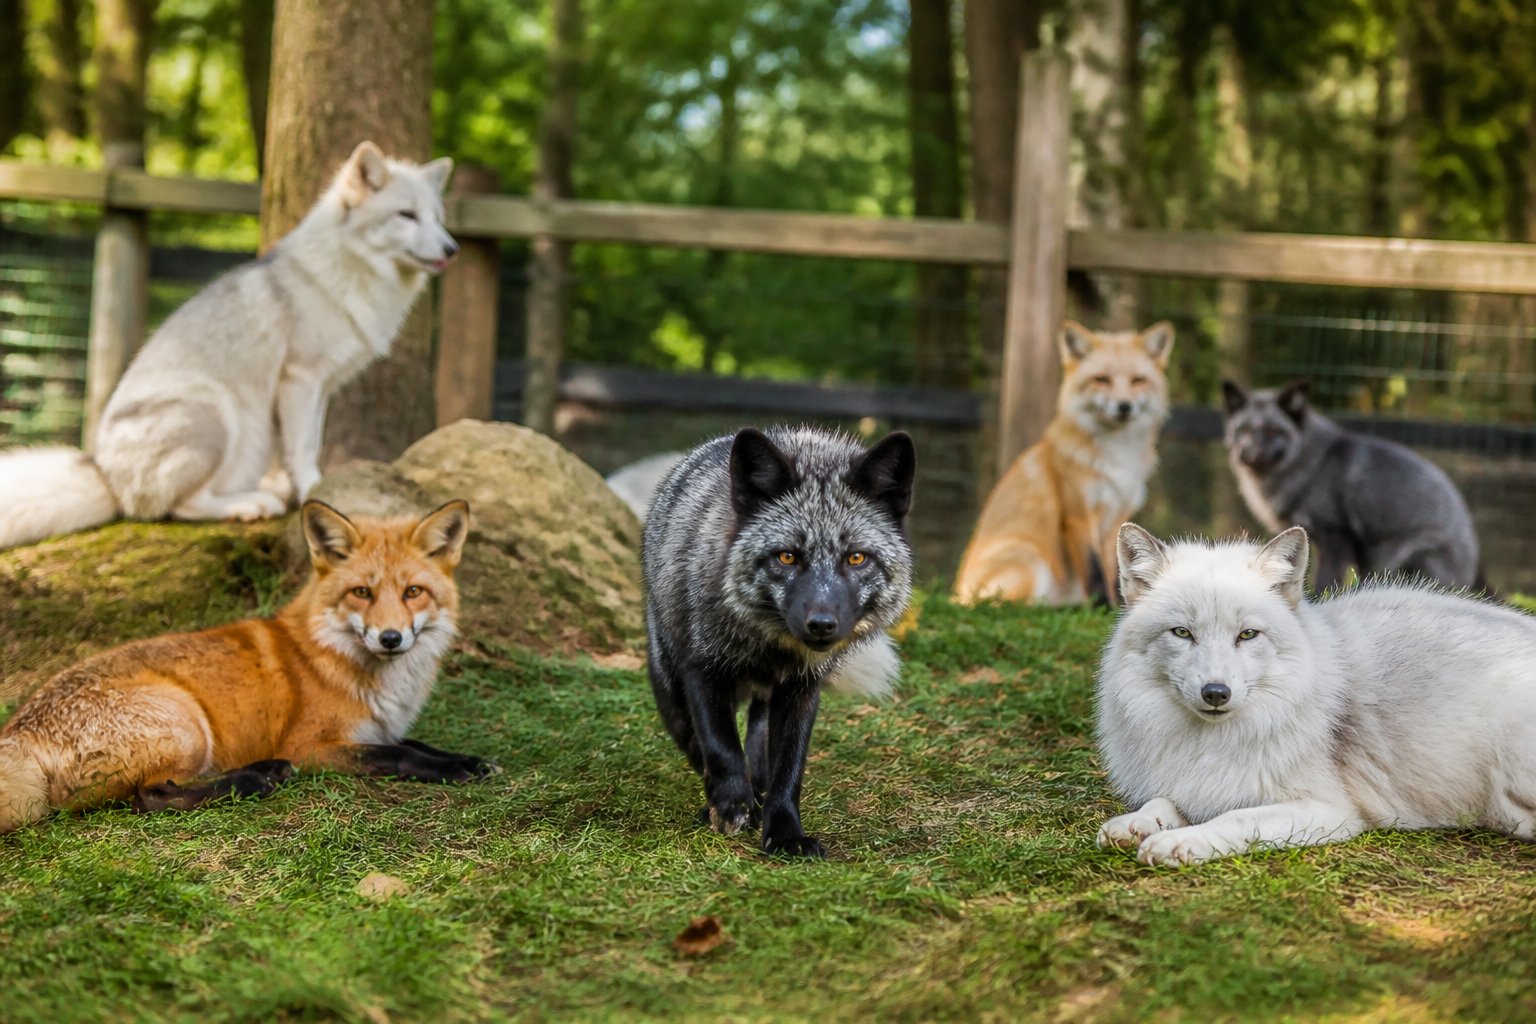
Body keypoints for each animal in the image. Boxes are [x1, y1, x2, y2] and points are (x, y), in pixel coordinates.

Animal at [0, 141, 458, 550]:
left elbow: (299, 446)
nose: (452, 248)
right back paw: (249, 505)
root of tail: (104, 473)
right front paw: (312, 492)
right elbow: (305, 447)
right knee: (175, 508)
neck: (351, 272)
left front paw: (294, 489)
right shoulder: (300, 378)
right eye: (406, 215)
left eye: (437, 218)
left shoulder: (318, 389)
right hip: (217, 413)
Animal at [0, 499, 495, 834]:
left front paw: (467, 760)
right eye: (361, 593)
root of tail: (18, 732)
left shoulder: (377, 728)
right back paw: (257, 779)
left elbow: (417, 744)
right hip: (187, 725)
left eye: (413, 592)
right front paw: (455, 770)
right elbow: (397, 755)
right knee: (151, 797)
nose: (391, 638)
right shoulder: (311, 745)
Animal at [644, 426, 916, 858]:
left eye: (856, 558)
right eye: (788, 557)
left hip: (767, 700)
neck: (766, 646)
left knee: (759, 745)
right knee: (694, 741)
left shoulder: (802, 689)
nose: (821, 625)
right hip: (668, 683)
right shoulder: (700, 671)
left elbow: (788, 768)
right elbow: (718, 748)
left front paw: (785, 833)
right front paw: (731, 804)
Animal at [953, 320, 1174, 605]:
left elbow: (1113, 570)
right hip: (1032, 561)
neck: (1117, 461)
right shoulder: (1078, 514)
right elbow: (1094, 571)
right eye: (1101, 379)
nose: (1124, 407)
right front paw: (1102, 606)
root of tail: (957, 594)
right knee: (1002, 604)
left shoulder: (1116, 517)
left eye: (1138, 380)